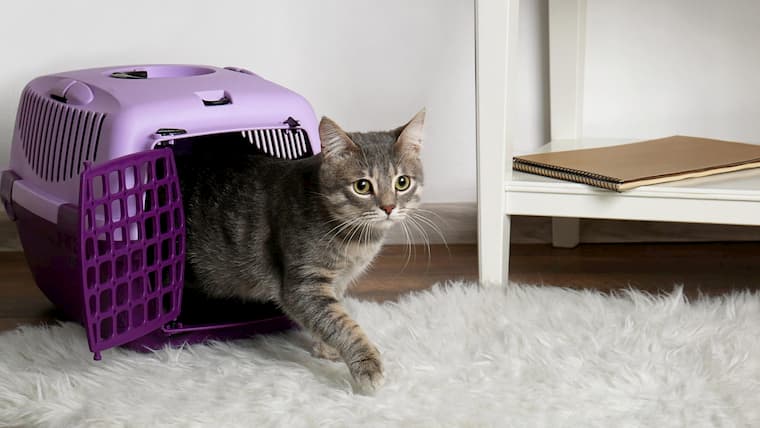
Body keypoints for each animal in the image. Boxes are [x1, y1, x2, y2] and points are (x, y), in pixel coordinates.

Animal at [180, 109, 424, 392]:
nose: (388, 207)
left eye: (402, 182)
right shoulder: (303, 285)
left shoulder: (336, 282)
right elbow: (342, 324)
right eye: (362, 186)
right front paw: (366, 363)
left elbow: (334, 316)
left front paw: (327, 349)